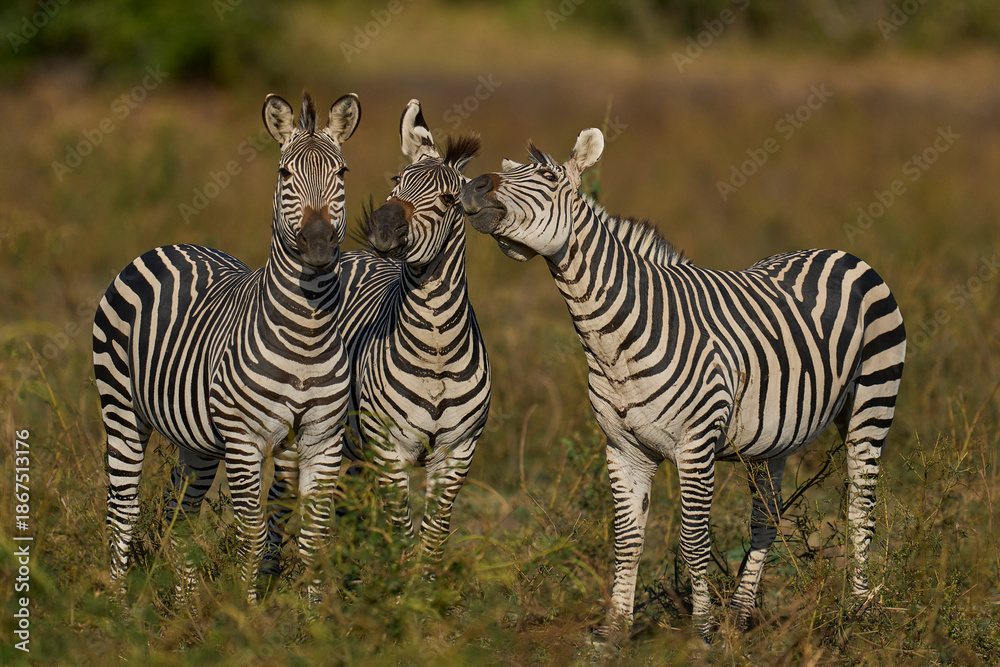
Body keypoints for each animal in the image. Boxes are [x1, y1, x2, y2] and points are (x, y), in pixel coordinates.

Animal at [93, 91, 360, 601]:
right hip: (120, 406)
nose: (318, 246)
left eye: (341, 174)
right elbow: (252, 533)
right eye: (284, 175)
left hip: (194, 437)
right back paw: (114, 604)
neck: (307, 333)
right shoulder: (243, 438)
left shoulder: (322, 437)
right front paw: (248, 614)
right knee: (123, 505)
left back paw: (187, 602)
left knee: (176, 508)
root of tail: (169, 246)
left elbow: (314, 538)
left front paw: (317, 617)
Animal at [266, 100, 490, 564]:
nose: (382, 226)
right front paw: (398, 583)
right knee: (280, 502)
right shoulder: (390, 449)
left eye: (448, 199)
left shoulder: (457, 453)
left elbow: (433, 540)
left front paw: (422, 584)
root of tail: (359, 255)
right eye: (396, 182)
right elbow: (403, 537)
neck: (436, 349)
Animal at [460, 128, 906, 634]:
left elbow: (694, 541)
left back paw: (860, 609)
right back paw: (741, 614)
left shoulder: (696, 445)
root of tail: (840, 252)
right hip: (775, 435)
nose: (474, 186)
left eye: (550, 178)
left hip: (872, 402)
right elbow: (628, 540)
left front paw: (702, 631)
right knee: (767, 515)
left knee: (861, 505)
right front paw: (614, 631)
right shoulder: (624, 448)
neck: (612, 338)